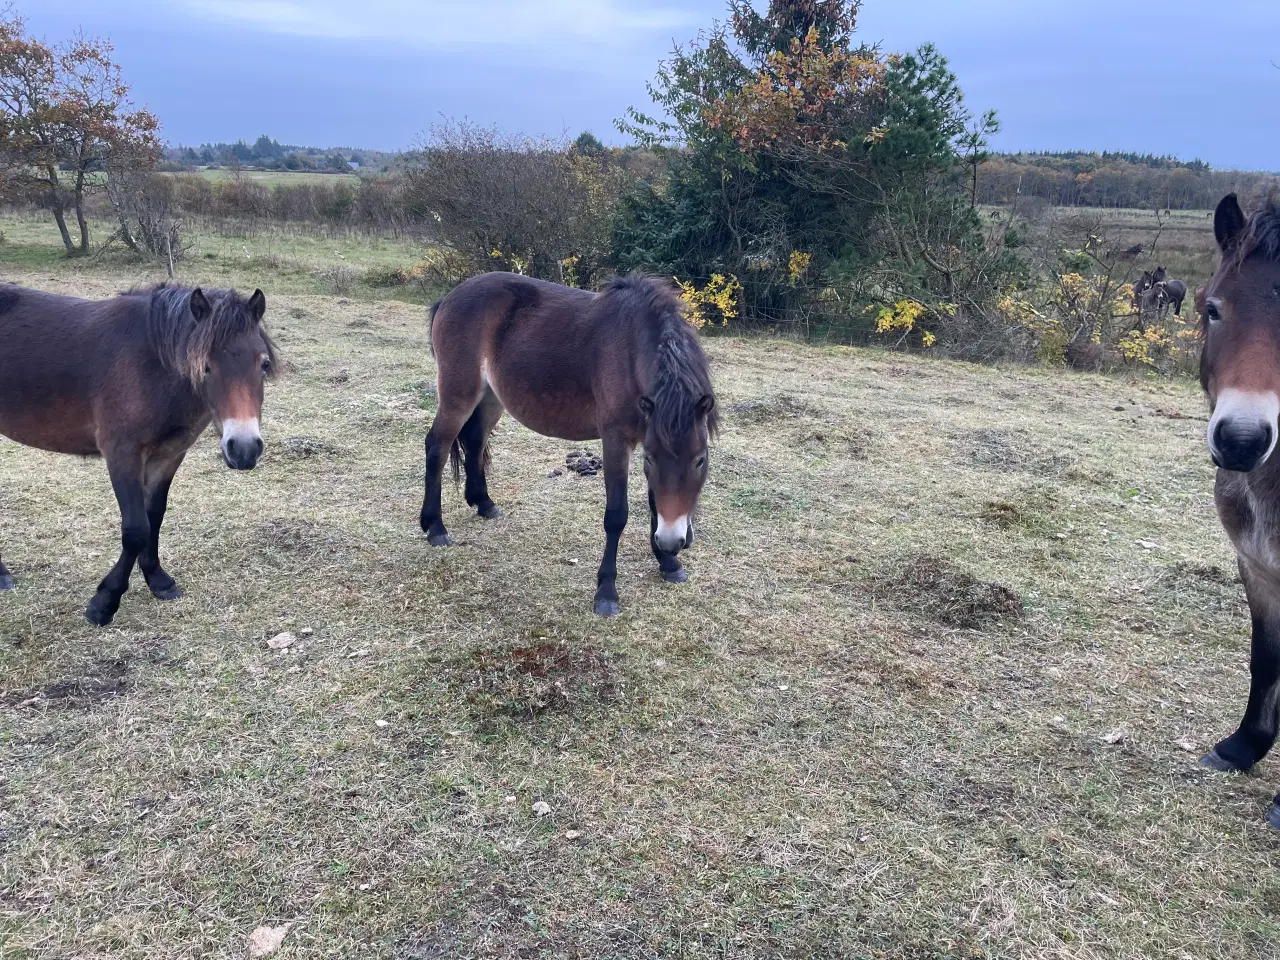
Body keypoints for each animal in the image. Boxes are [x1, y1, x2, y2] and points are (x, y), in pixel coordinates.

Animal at [0, 284, 277, 632]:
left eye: (263, 364)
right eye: (205, 365)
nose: (243, 448)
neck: (153, 366)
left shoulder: (168, 456)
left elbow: (154, 516)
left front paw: (158, 579)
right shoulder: (123, 454)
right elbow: (135, 529)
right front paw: (104, 602)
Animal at [422, 271, 716, 616]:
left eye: (699, 459)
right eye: (650, 460)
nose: (671, 542)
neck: (631, 348)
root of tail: (449, 298)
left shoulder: (648, 435)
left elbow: (656, 503)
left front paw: (668, 563)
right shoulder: (616, 440)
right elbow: (617, 515)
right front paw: (606, 591)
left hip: (491, 398)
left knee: (475, 443)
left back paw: (484, 503)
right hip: (458, 395)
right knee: (437, 448)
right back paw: (435, 527)